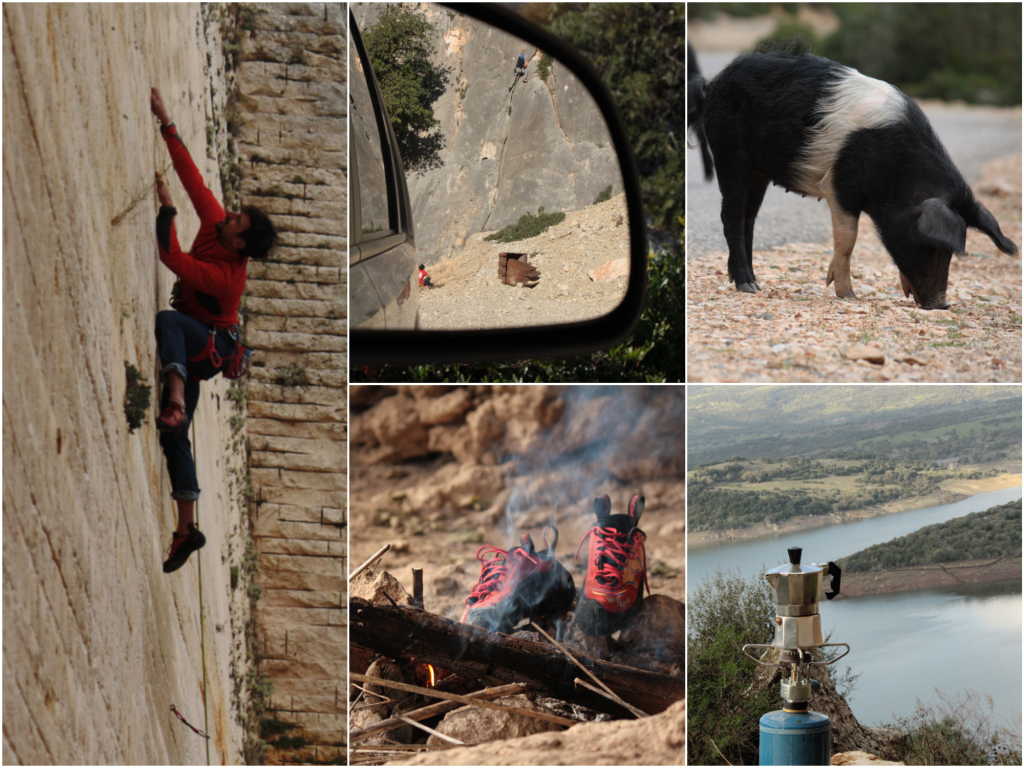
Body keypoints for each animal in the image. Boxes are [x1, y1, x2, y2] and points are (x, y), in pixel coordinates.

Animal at [688, 48, 1015, 309]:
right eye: (931, 247)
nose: (942, 305)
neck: (897, 173)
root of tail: (712, 85)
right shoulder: (840, 188)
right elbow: (848, 238)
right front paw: (848, 295)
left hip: (758, 171)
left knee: (748, 219)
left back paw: (753, 284)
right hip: (730, 153)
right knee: (731, 216)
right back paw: (747, 286)